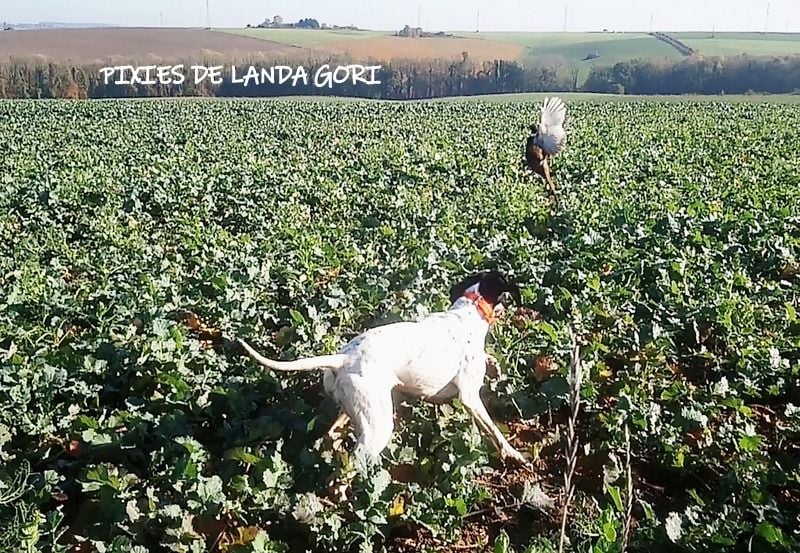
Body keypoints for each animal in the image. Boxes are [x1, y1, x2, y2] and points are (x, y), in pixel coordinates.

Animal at [238, 272, 532, 466]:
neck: (469, 310)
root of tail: (343, 359)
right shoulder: (470, 397)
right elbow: (494, 431)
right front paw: (513, 454)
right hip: (378, 425)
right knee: (355, 463)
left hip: (354, 409)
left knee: (331, 436)